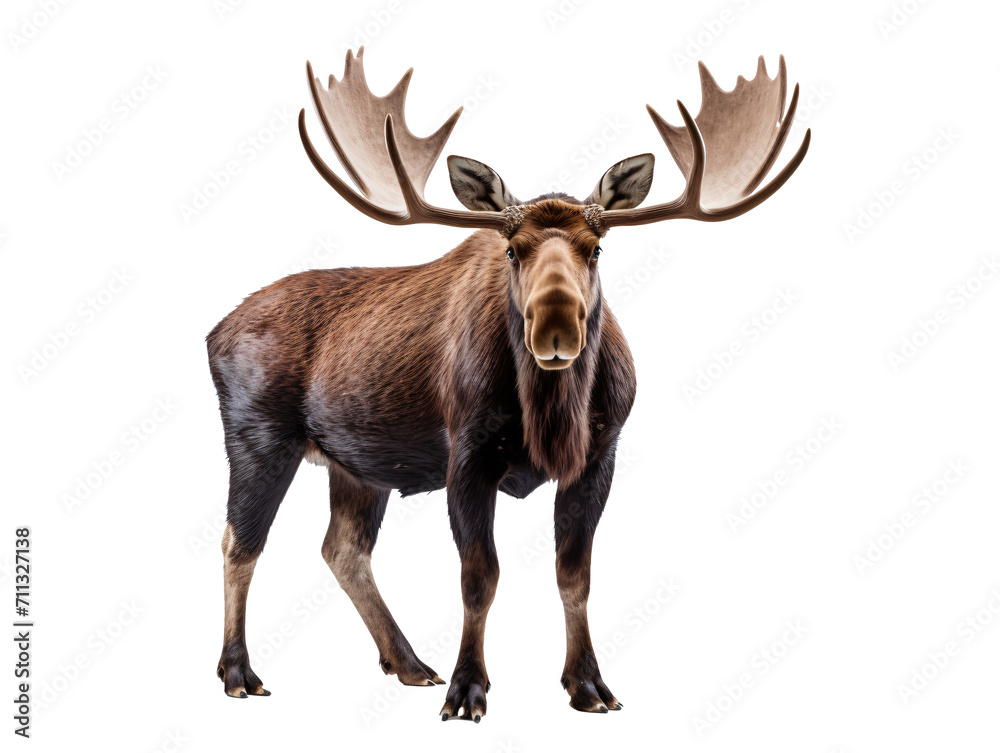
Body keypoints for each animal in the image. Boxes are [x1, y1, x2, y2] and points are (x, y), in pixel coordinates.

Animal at [207, 47, 810, 722]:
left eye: (596, 247)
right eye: (513, 249)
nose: (555, 328)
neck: (551, 419)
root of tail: (213, 330)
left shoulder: (599, 456)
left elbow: (574, 575)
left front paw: (588, 685)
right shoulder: (467, 457)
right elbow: (479, 577)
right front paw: (468, 690)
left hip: (358, 464)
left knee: (341, 549)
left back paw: (409, 663)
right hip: (258, 438)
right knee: (239, 542)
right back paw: (239, 672)